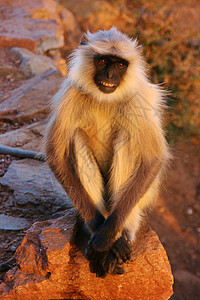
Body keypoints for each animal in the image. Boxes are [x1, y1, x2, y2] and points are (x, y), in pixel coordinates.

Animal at [44, 27, 170, 278]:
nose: (110, 75)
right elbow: (55, 155)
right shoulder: (70, 94)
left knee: (127, 137)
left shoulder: (136, 100)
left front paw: (107, 235)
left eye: (120, 64)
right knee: (77, 137)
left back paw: (121, 236)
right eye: (103, 61)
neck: (105, 98)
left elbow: (153, 159)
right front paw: (98, 229)